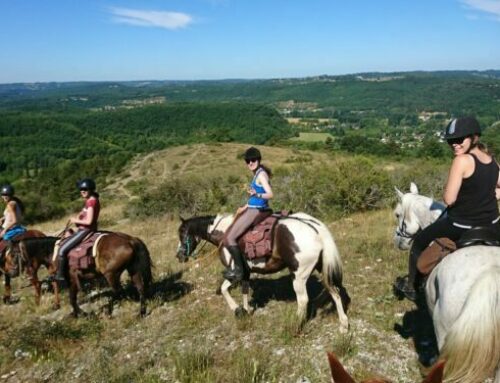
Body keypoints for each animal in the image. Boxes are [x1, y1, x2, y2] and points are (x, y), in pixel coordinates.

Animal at [3, 231, 152, 318]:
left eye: (12, 254)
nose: (10, 272)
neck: (53, 252)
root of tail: (130, 240)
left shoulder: (73, 279)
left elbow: (72, 299)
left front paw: (81, 313)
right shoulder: (70, 281)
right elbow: (72, 298)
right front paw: (76, 314)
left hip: (111, 274)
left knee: (118, 292)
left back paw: (108, 311)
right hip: (133, 270)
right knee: (140, 288)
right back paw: (142, 312)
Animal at [178, 213, 350, 332]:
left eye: (182, 233)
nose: (179, 256)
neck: (224, 234)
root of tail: (315, 228)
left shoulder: (235, 272)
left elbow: (224, 289)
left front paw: (236, 310)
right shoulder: (245, 273)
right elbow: (245, 291)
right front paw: (246, 311)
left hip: (299, 276)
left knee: (303, 300)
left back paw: (294, 325)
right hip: (322, 269)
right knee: (334, 291)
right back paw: (343, 325)